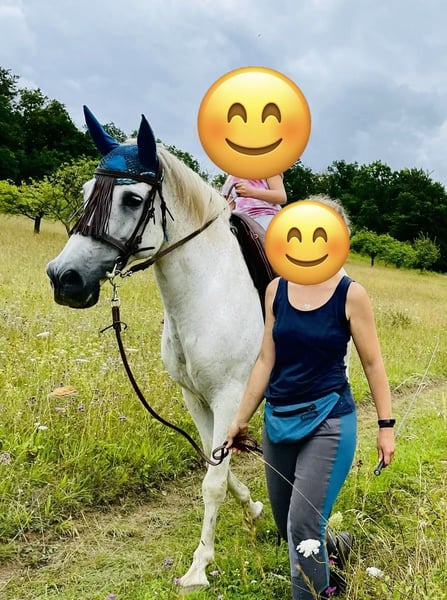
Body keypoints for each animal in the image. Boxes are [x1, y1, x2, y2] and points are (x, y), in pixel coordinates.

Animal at [46, 106, 265, 591]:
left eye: (131, 199)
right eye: (86, 191)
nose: (63, 278)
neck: (208, 293)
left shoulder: (228, 395)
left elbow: (213, 482)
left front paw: (199, 567)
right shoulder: (196, 397)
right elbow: (215, 465)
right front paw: (254, 508)